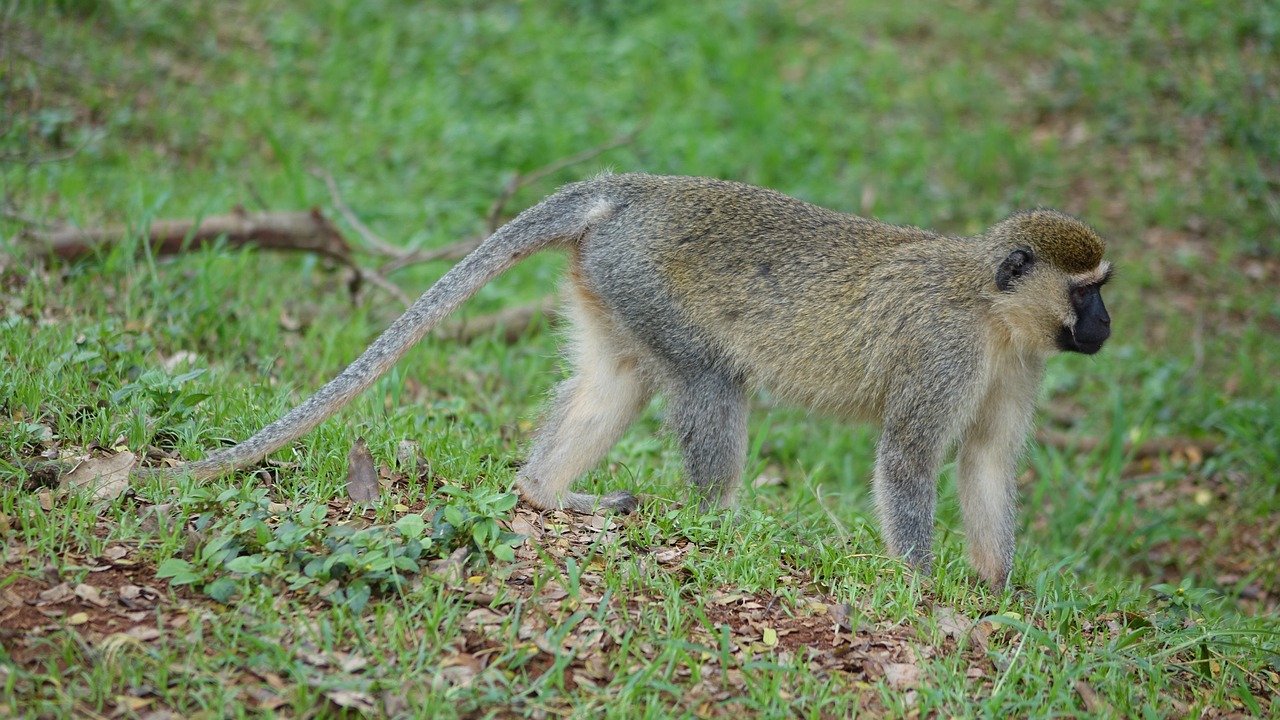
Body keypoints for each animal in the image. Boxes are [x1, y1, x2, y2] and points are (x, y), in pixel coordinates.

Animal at [147, 172, 1111, 584]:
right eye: (1088, 292)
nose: (1104, 328)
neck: (993, 310)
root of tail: (637, 188)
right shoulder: (946, 352)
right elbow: (910, 461)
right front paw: (923, 591)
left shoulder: (1017, 365)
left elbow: (985, 465)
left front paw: (996, 591)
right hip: (643, 272)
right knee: (712, 380)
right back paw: (717, 528)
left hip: (608, 277)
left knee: (621, 380)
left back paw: (543, 492)